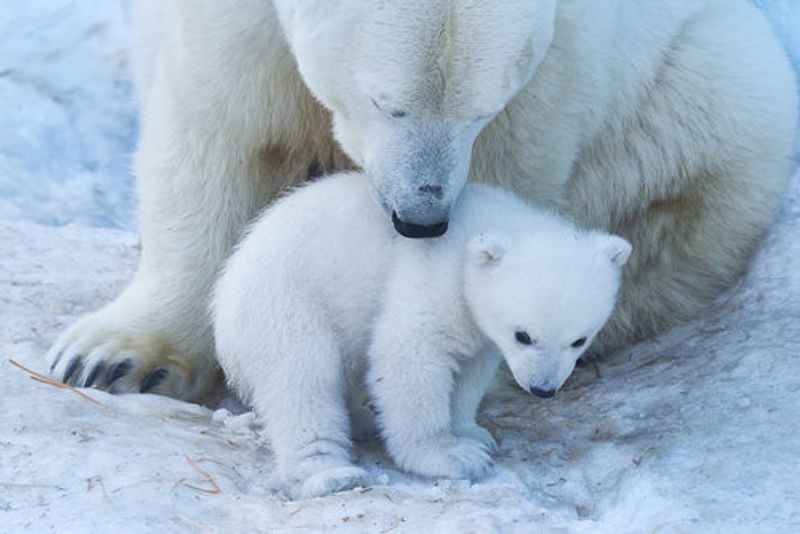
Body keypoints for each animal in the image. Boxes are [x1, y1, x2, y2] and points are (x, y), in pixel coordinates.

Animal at [46, 1, 797, 402]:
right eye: (388, 102)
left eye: (481, 108)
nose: (420, 217)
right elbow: (218, 130)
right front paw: (114, 359)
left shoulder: (558, 65)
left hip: (705, 91)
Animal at [212, 171, 631, 499]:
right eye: (523, 335)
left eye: (579, 340)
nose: (543, 389)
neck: (484, 227)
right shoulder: (434, 276)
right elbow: (410, 356)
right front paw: (453, 456)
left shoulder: (479, 326)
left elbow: (471, 370)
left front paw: (473, 434)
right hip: (286, 304)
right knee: (302, 382)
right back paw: (330, 475)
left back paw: (361, 420)